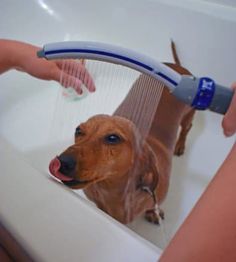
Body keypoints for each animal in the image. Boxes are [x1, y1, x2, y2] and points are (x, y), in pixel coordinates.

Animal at [48, 44, 195, 224]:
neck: (111, 191)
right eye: (78, 130)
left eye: (113, 138)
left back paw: (180, 145)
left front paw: (153, 212)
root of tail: (178, 68)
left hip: (188, 115)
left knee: (187, 128)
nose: (62, 162)